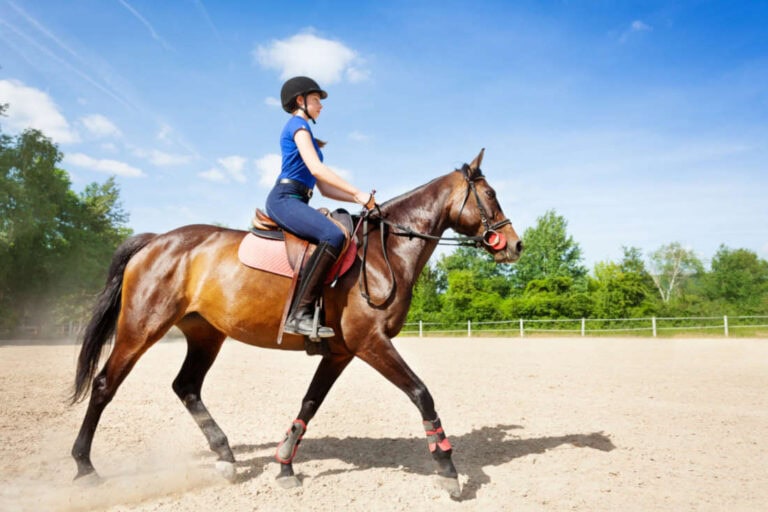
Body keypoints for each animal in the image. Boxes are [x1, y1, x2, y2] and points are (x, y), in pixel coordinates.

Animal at [70, 149, 523, 497]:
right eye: (490, 194)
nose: (515, 245)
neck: (384, 251)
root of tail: (156, 241)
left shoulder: (341, 351)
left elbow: (310, 402)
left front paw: (285, 465)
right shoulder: (371, 342)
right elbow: (421, 394)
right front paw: (448, 470)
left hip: (205, 334)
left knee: (186, 387)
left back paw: (226, 456)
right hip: (142, 327)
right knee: (105, 385)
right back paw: (84, 467)